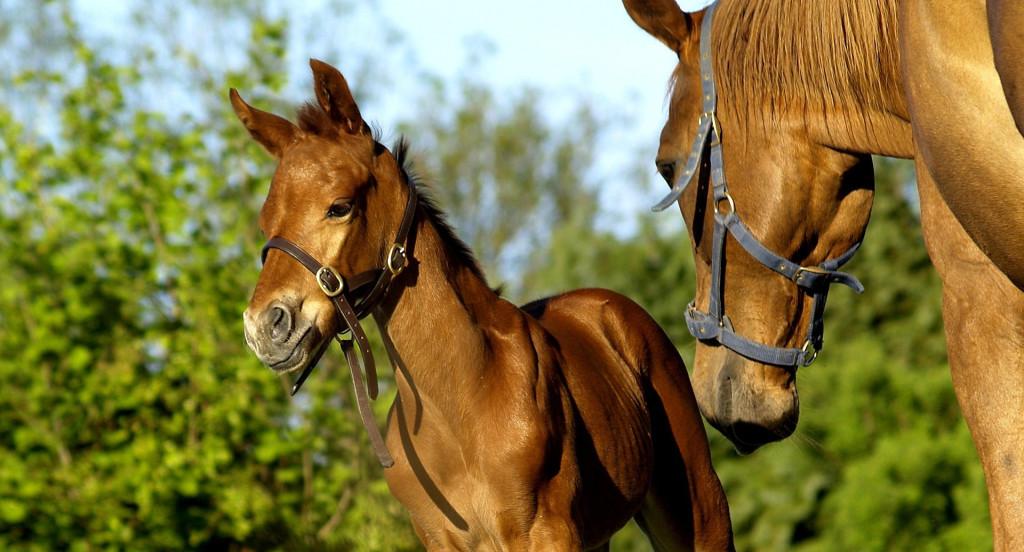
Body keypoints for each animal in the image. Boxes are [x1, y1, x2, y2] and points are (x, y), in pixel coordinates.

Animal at [232, 60, 733, 552]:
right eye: (265, 221)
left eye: (339, 207)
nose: (264, 327)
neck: (461, 404)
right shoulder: (438, 541)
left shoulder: (548, 532)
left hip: (696, 505)